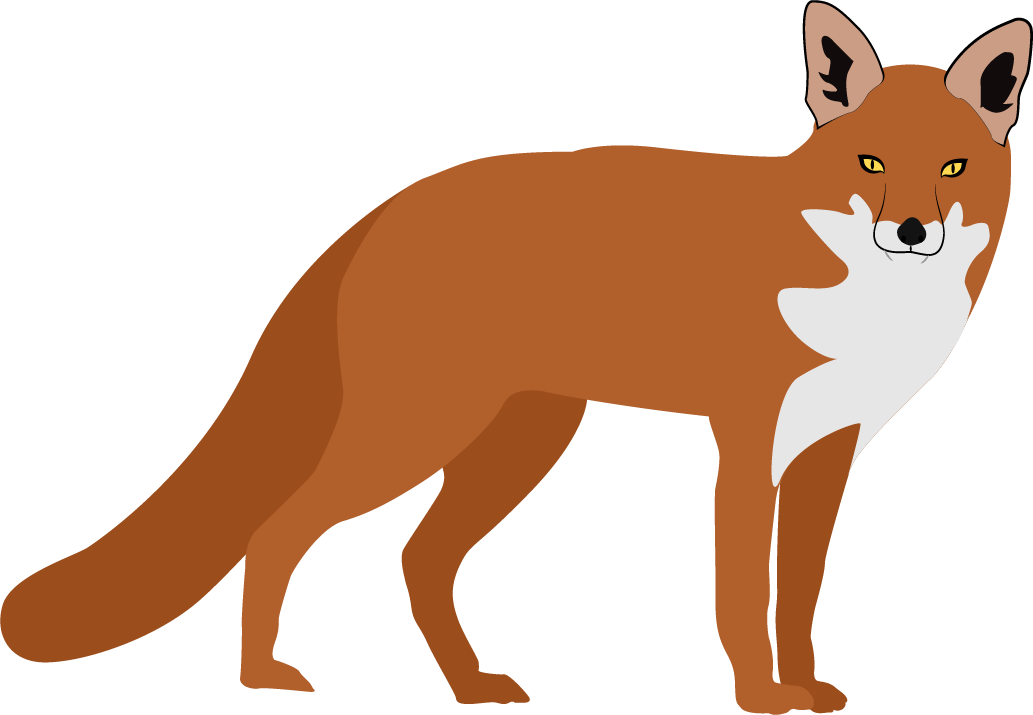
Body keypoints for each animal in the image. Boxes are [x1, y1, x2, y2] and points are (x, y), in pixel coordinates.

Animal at [1, 2, 1030, 714]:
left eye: (951, 168)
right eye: (867, 163)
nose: (909, 230)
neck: (862, 302)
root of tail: (383, 210)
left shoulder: (826, 454)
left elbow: (800, 598)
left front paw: (806, 688)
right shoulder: (745, 447)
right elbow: (742, 596)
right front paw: (757, 696)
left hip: (516, 443)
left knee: (417, 557)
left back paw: (465, 684)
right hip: (419, 435)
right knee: (280, 532)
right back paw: (261, 674)